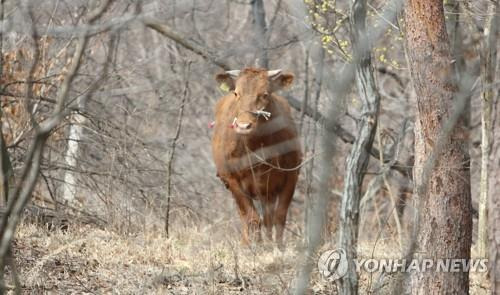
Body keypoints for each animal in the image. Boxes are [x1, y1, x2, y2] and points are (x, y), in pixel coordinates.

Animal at [211, 67, 300, 247]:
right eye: (236, 93)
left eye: (264, 94)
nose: (243, 126)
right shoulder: (232, 179)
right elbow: (251, 217)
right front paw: (254, 247)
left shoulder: (290, 177)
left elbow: (279, 217)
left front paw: (278, 247)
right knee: (246, 217)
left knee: (268, 219)